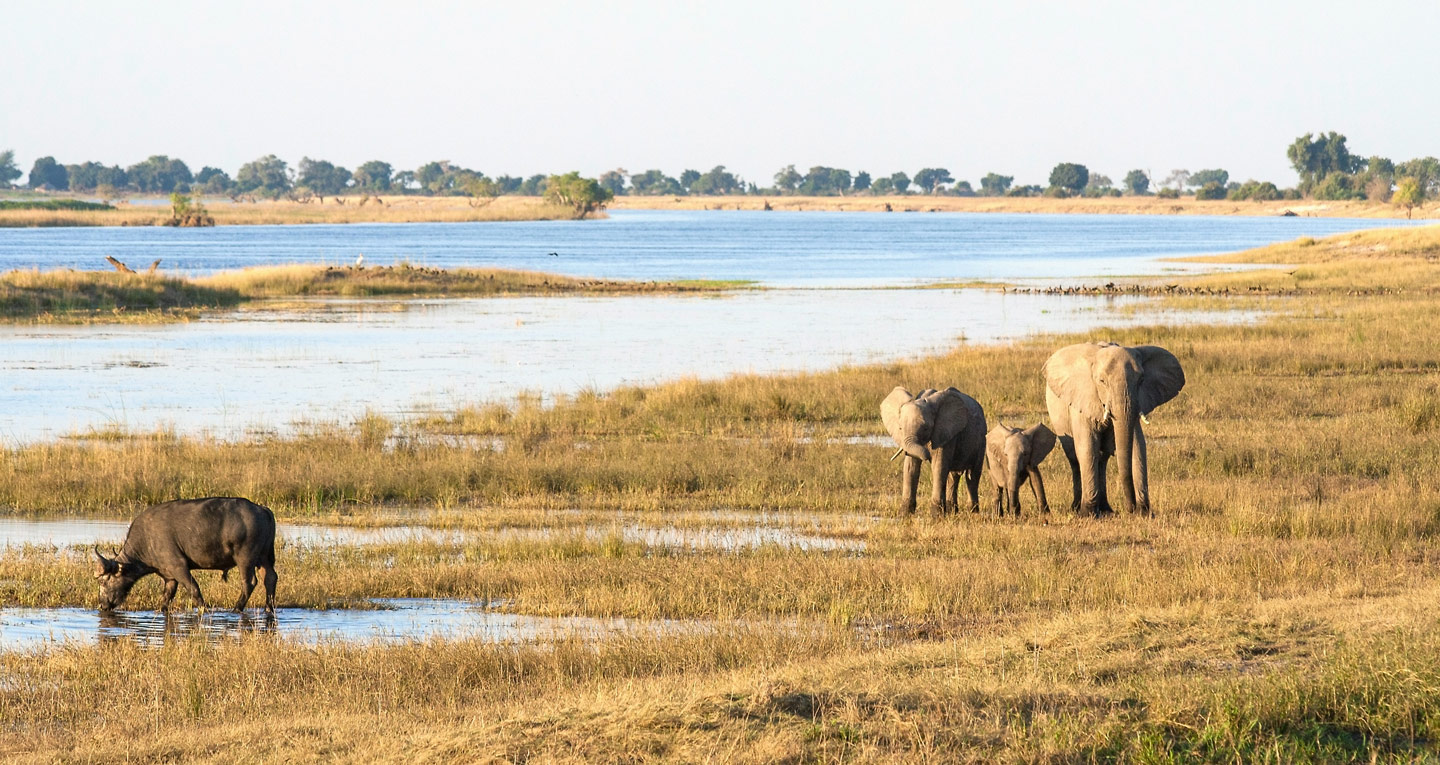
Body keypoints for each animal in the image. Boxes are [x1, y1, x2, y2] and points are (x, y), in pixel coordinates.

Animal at [93, 495, 280, 616]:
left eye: (104, 581)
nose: (102, 605)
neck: (146, 539)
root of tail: (262, 509)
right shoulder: (169, 576)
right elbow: (167, 595)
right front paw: (160, 610)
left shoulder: (179, 567)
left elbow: (194, 589)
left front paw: (205, 609)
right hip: (264, 557)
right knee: (270, 577)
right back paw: (268, 608)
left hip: (245, 558)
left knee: (249, 582)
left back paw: (236, 609)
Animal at [1042, 344, 1186, 518]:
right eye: (1102, 381)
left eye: (1141, 381)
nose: (1130, 509)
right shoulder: (1083, 400)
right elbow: (1087, 447)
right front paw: (1088, 514)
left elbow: (1138, 446)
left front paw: (1144, 513)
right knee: (1075, 458)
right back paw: (1077, 508)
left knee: (1102, 459)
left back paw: (1106, 510)